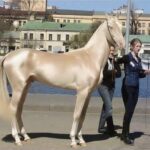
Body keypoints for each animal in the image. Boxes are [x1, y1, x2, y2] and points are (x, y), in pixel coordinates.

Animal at [0, 16, 125, 146]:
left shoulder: (89, 93)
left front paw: (81, 140)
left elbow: (83, 115)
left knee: (19, 109)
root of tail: (8, 56)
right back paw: (17, 139)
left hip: (25, 87)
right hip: (18, 88)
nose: (122, 44)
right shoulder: (82, 92)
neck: (90, 57)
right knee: (13, 109)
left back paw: (25, 136)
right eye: (110, 26)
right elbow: (77, 114)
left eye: (121, 26)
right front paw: (73, 140)